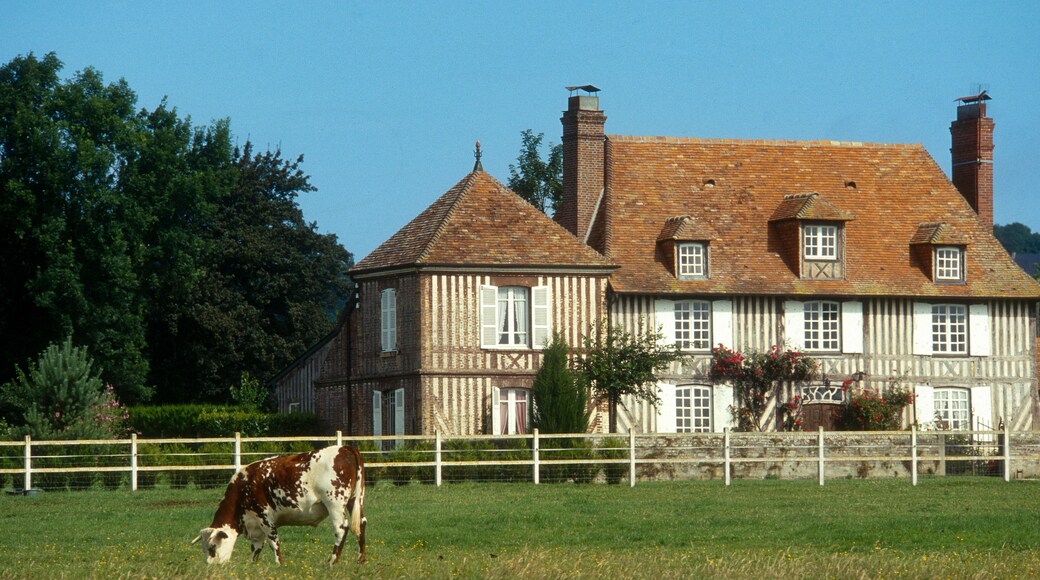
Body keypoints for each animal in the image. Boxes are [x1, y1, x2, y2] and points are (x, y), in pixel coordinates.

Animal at [192, 445, 366, 565]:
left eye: (212, 547)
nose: (210, 567)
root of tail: (345, 448)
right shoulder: (255, 525)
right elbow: (256, 547)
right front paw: (252, 565)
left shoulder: (265, 518)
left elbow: (273, 543)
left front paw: (279, 564)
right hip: (355, 500)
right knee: (361, 524)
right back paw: (361, 560)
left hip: (334, 504)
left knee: (341, 529)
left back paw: (332, 561)